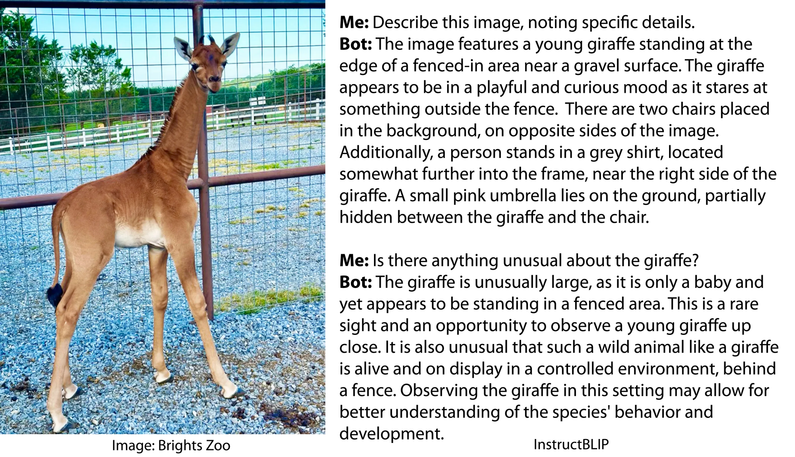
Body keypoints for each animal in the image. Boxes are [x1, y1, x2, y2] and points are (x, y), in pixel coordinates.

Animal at [45, 33, 242, 433]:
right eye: (194, 64)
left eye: (223, 60)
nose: (214, 82)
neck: (175, 168)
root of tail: (61, 207)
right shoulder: (181, 241)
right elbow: (197, 303)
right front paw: (226, 382)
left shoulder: (156, 246)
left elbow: (160, 298)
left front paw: (161, 370)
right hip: (92, 260)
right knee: (69, 312)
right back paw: (57, 413)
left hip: (74, 261)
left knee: (58, 305)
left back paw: (69, 387)